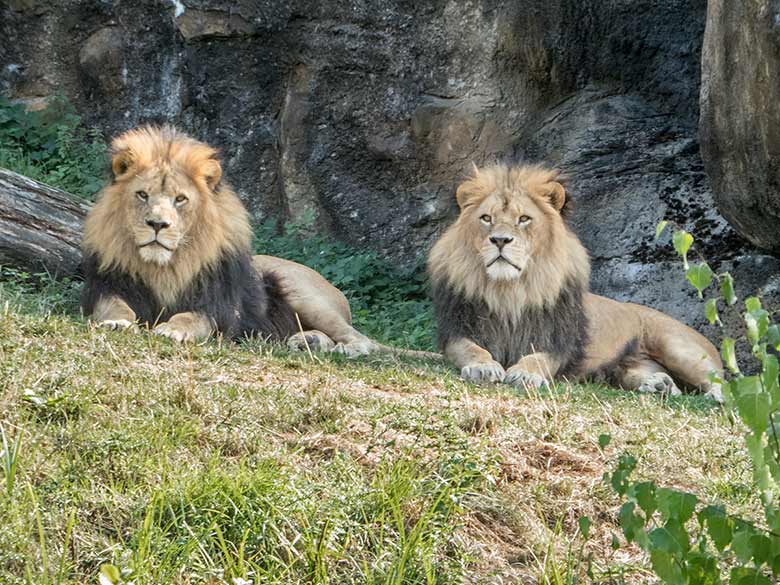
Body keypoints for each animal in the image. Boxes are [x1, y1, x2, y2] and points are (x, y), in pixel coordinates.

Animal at [79, 125, 432, 358]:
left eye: (180, 199)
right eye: (142, 195)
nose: (157, 224)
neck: (165, 266)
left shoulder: (218, 309)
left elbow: (192, 317)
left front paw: (172, 329)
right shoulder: (107, 287)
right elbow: (114, 306)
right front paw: (116, 323)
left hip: (300, 289)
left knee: (362, 340)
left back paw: (341, 350)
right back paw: (307, 342)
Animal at [426, 164, 724, 402]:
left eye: (524, 219)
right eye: (486, 218)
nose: (500, 240)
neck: (509, 291)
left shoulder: (558, 342)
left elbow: (538, 358)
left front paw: (525, 374)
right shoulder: (457, 330)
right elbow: (471, 349)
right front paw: (484, 367)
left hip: (677, 346)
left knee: (720, 381)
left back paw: (714, 397)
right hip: (629, 367)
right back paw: (660, 386)